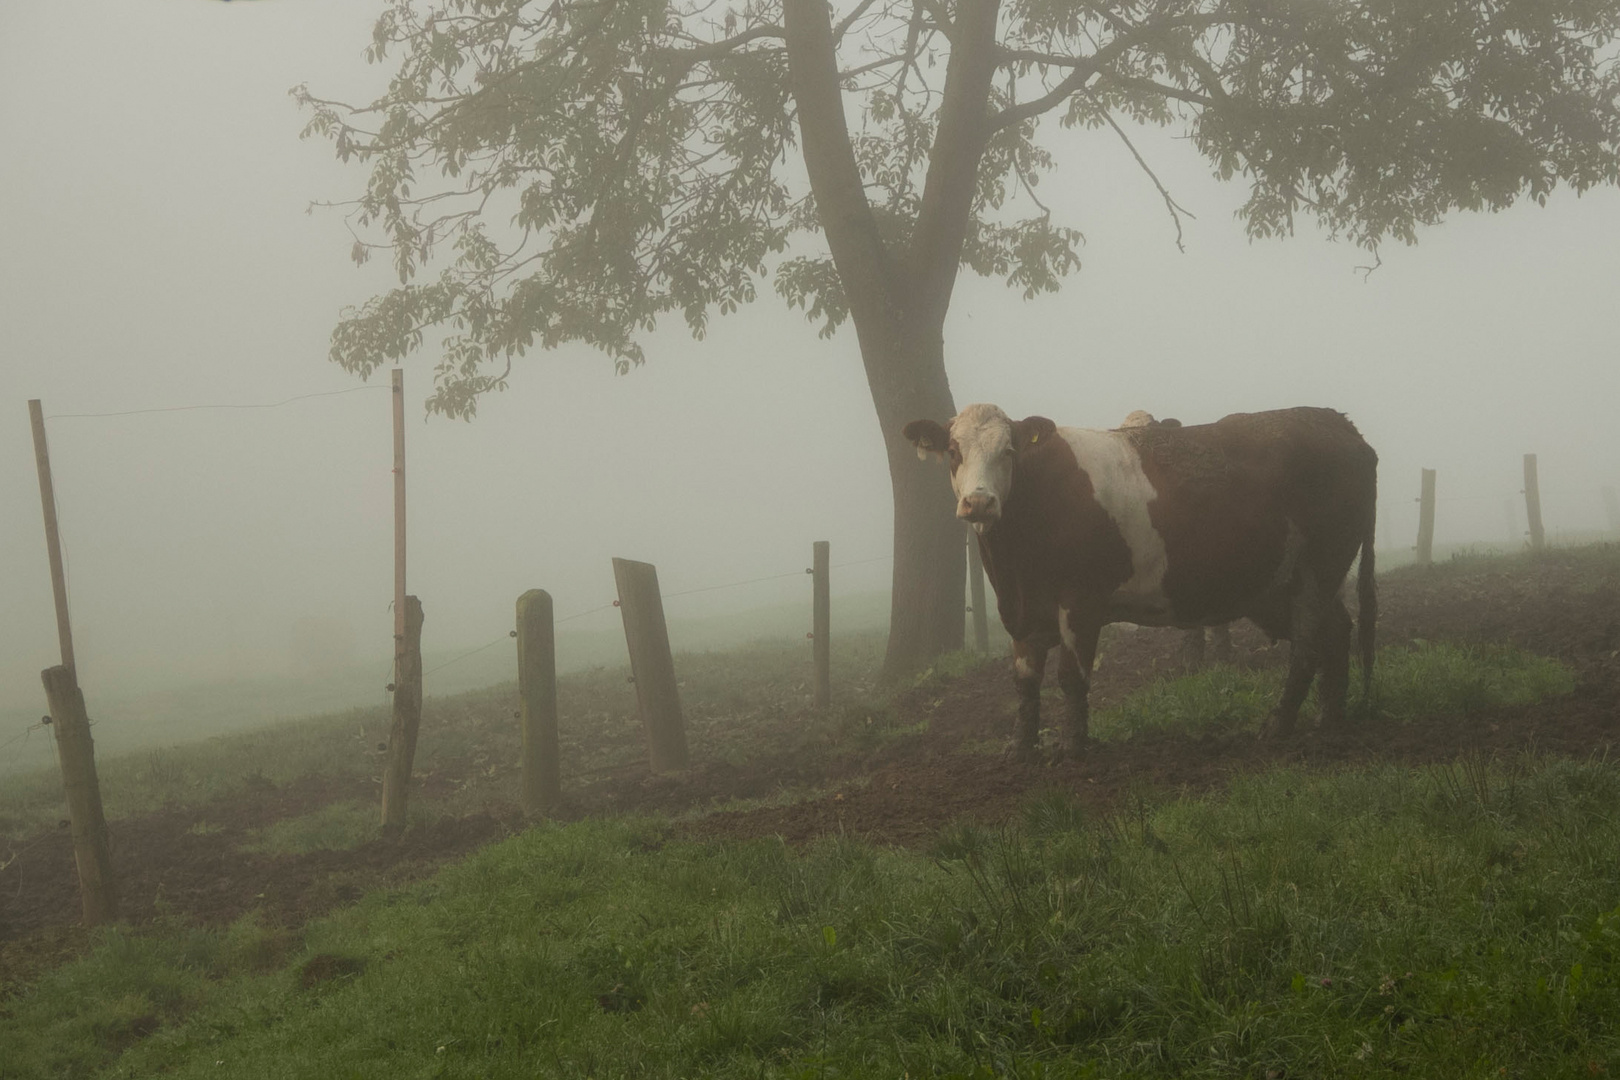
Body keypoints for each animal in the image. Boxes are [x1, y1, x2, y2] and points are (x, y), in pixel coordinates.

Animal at [907, 403, 1373, 761]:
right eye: (953, 451)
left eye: (1008, 451)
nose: (979, 502)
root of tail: (1337, 422)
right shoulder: (1024, 611)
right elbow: (1025, 681)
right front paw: (1021, 749)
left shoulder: (1081, 602)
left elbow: (1071, 677)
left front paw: (1072, 747)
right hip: (1283, 586)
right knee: (1336, 631)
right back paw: (1329, 717)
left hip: (1319, 570)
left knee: (1306, 648)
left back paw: (1279, 724)